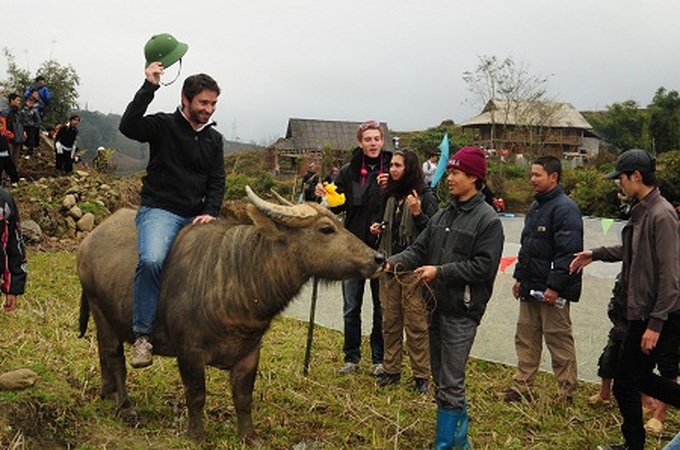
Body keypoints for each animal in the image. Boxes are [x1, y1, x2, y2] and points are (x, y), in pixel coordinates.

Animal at [77, 186, 386, 442]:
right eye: (325, 229)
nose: (379, 258)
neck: (236, 276)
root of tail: (90, 239)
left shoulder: (249, 353)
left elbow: (243, 397)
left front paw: (249, 437)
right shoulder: (189, 352)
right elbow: (196, 394)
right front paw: (197, 436)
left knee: (103, 352)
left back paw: (108, 392)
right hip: (99, 308)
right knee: (114, 356)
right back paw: (125, 406)